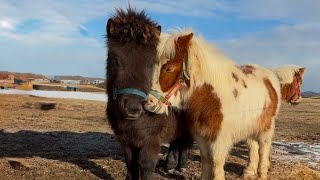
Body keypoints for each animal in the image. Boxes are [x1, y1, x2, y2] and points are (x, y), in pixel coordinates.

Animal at [106, 7, 191, 180]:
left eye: (152, 63)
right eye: (115, 60)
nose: (133, 108)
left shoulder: (150, 143)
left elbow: (145, 166)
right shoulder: (126, 141)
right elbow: (131, 166)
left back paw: (181, 166)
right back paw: (170, 166)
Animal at [144, 30, 304, 179]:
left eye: (169, 68)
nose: (148, 103)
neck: (210, 97)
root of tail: (270, 76)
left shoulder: (219, 139)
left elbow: (216, 163)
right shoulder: (202, 136)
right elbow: (206, 161)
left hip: (266, 127)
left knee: (263, 149)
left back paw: (261, 174)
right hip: (250, 126)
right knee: (253, 147)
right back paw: (249, 172)